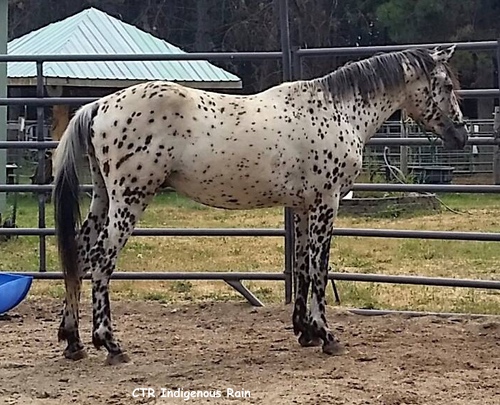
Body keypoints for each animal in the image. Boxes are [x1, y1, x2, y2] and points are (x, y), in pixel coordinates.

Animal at [52, 44, 466, 362]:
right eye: (446, 84)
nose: (460, 134)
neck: (337, 110)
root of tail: (99, 106)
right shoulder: (326, 203)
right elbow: (320, 269)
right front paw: (327, 335)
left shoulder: (303, 208)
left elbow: (302, 267)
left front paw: (305, 331)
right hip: (129, 200)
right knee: (102, 259)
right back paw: (110, 344)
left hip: (103, 199)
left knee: (80, 255)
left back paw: (73, 341)